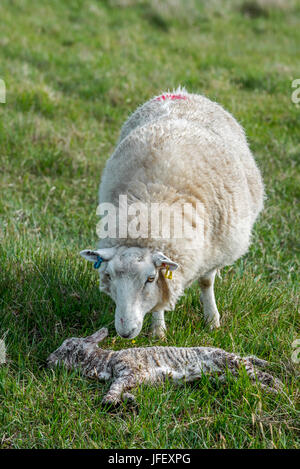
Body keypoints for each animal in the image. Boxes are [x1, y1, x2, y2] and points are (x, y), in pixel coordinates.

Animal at [47, 326, 284, 406]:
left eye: (68, 346)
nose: (48, 360)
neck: (106, 362)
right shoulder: (134, 379)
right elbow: (125, 390)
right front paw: (129, 400)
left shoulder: (130, 371)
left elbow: (114, 387)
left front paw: (109, 401)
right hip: (227, 375)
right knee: (251, 373)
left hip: (230, 362)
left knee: (259, 371)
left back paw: (281, 386)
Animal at [79, 87, 262, 336]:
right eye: (109, 275)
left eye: (150, 278)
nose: (125, 332)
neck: (151, 207)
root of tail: (181, 92)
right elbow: (159, 303)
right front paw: (158, 331)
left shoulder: (213, 250)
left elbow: (206, 283)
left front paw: (212, 321)